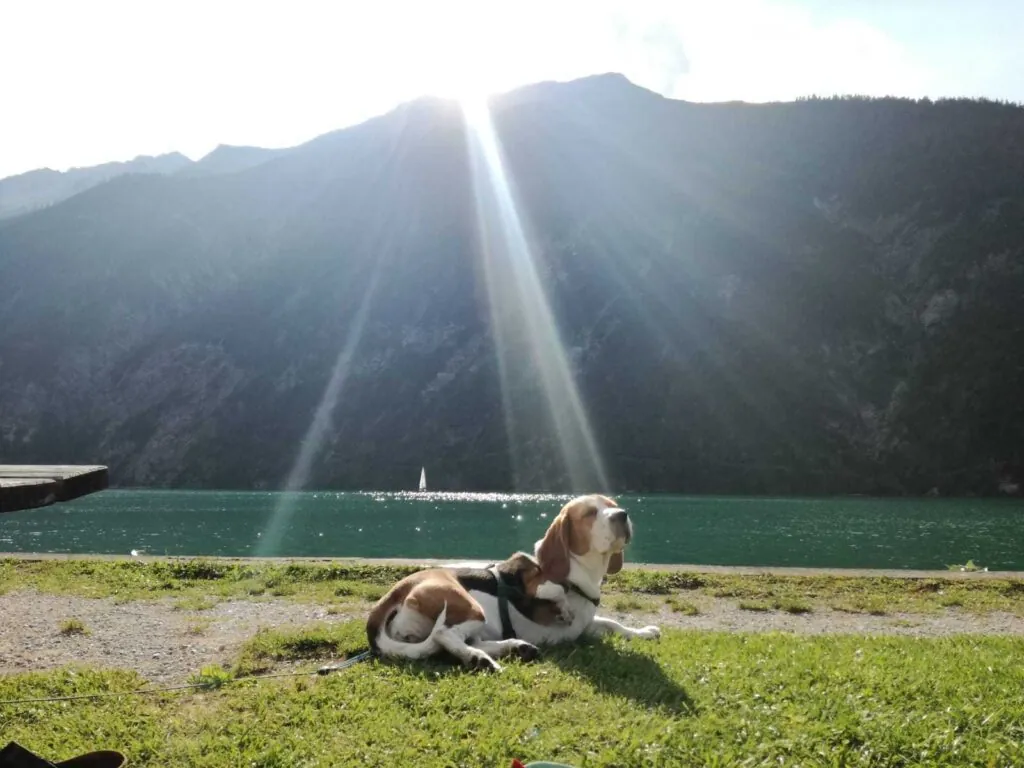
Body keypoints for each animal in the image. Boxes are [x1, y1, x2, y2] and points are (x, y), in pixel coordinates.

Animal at [368, 495, 663, 671]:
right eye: (590, 512)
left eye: (612, 504)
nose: (622, 514)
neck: (581, 576)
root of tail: (392, 595)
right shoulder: (532, 581)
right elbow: (555, 589)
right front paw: (562, 605)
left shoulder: (586, 626)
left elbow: (614, 624)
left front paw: (643, 633)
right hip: (468, 604)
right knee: (444, 634)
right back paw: (479, 658)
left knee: (458, 641)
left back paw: (514, 647)